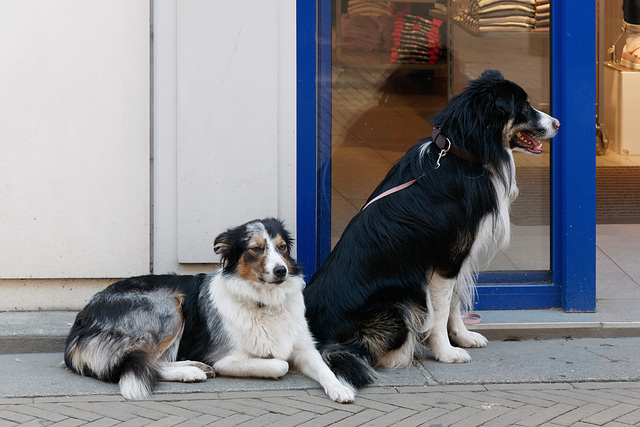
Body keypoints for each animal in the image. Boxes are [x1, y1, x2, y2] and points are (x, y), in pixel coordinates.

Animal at [65, 219, 356, 402]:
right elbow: (279, 364)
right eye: (256, 248)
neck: (264, 301)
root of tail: (78, 327)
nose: (281, 271)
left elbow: (324, 368)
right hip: (168, 304)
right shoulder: (226, 358)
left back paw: (195, 366)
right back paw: (191, 371)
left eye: (282, 247)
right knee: (145, 361)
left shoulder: (304, 347)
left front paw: (339, 387)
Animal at [304, 71, 560, 392]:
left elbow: (454, 304)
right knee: (359, 350)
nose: (558, 123)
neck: (462, 152)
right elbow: (440, 309)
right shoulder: (446, 259)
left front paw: (463, 337)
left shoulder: (457, 257)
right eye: (524, 107)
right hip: (396, 304)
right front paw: (446, 352)